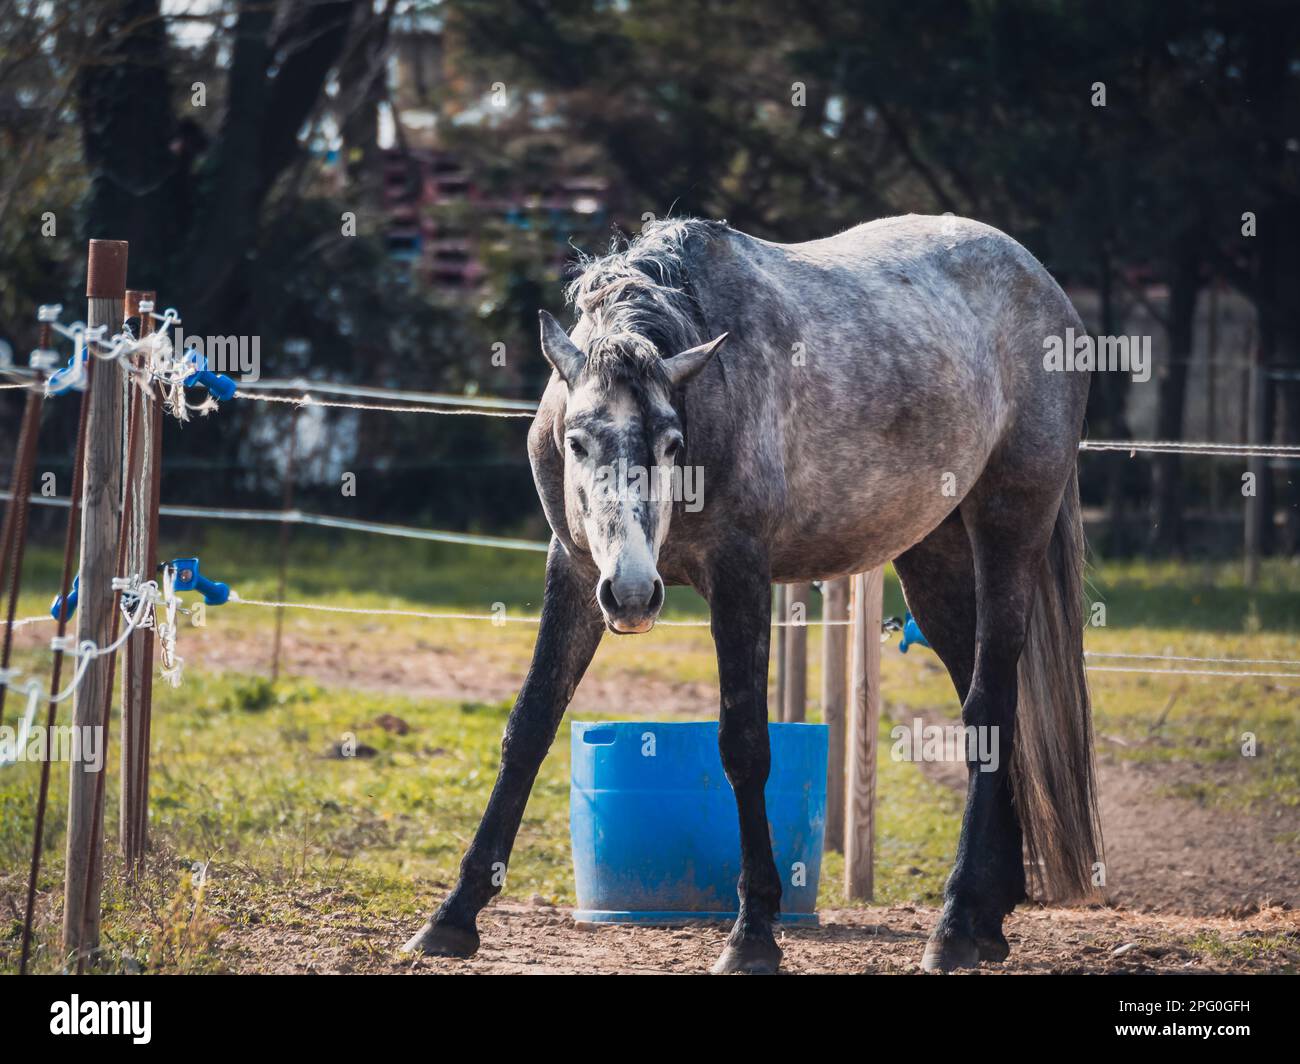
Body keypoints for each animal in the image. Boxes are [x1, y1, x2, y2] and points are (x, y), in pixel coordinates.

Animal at [403, 213, 1097, 967]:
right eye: (579, 442)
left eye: (671, 444)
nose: (635, 596)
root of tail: (1042, 285)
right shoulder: (579, 573)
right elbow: (529, 727)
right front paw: (453, 915)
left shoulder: (741, 578)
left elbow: (744, 745)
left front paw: (754, 931)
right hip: (934, 558)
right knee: (987, 710)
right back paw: (985, 921)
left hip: (1010, 525)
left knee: (989, 704)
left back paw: (955, 925)